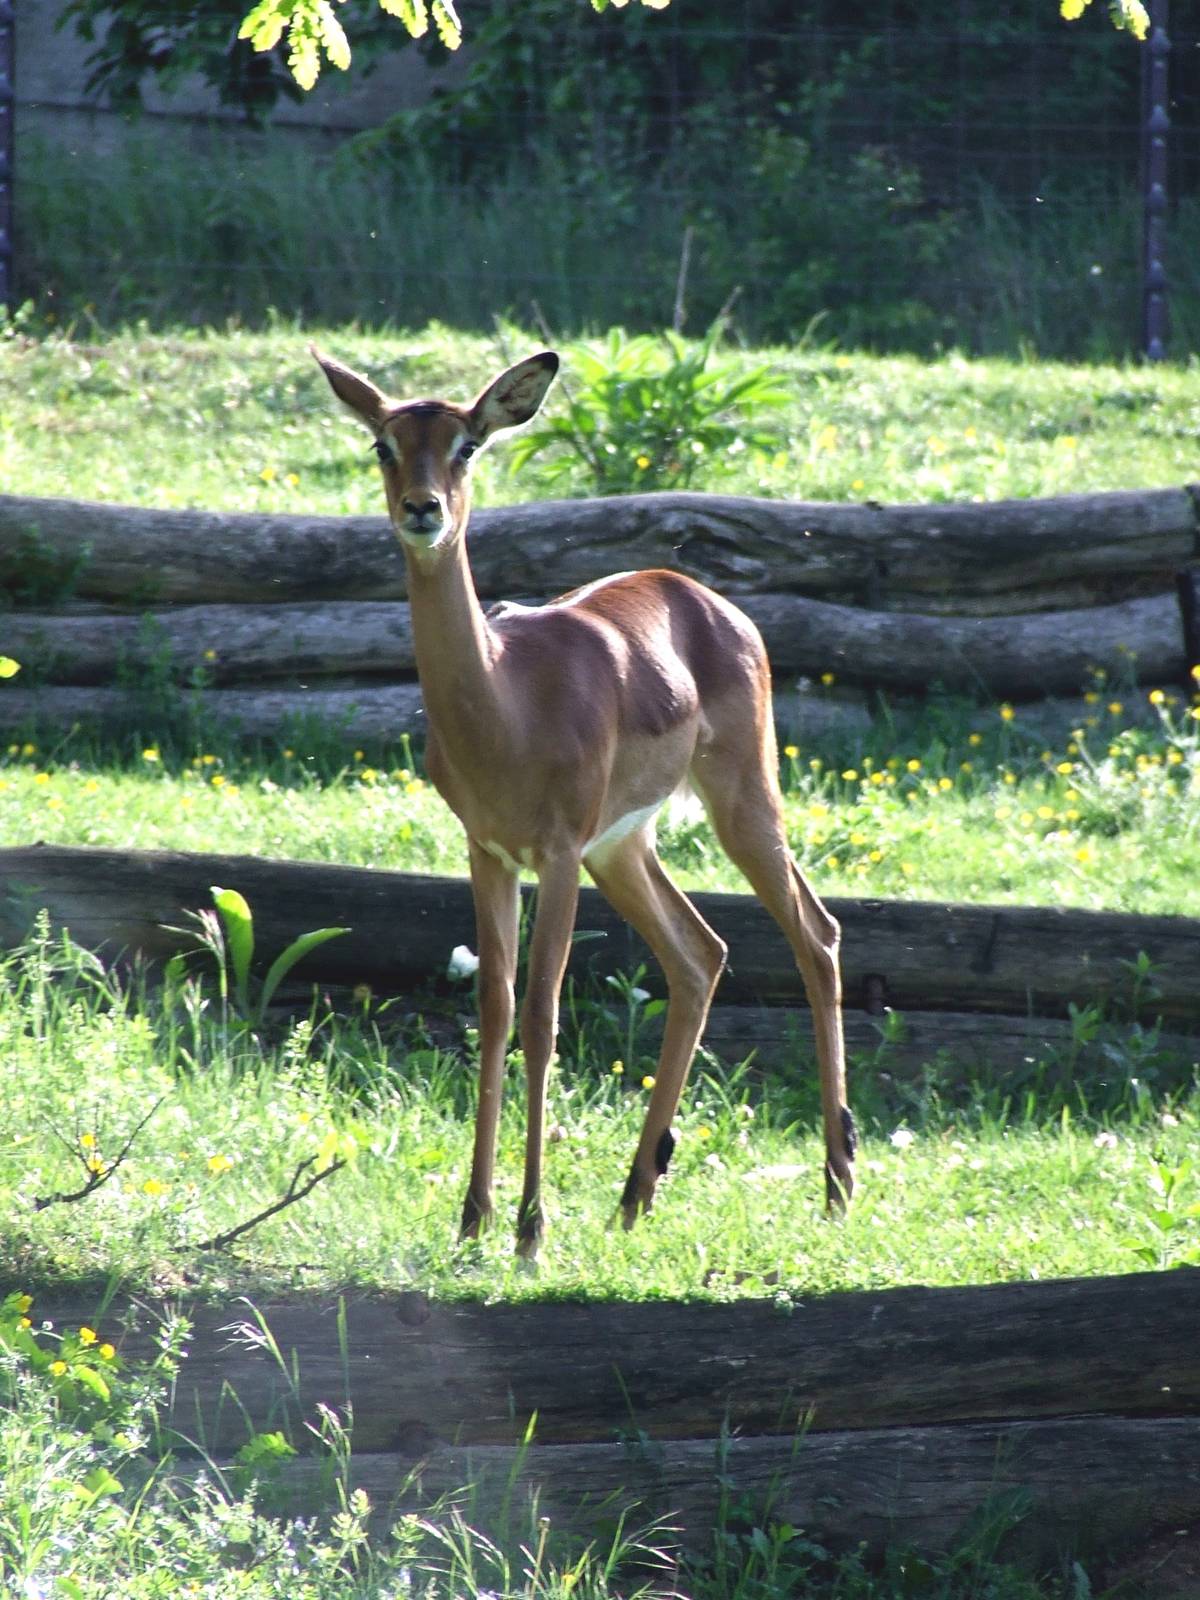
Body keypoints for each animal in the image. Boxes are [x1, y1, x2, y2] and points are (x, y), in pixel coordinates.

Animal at [313, 346, 856, 1257]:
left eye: (466, 445)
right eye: (385, 446)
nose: (424, 511)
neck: (505, 698)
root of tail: (705, 600)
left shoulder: (558, 854)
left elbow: (542, 1016)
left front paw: (531, 1228)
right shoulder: (489, 852)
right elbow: (495, 1009)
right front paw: (473, 1217)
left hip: (739, 802)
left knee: (816, 934)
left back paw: (838, 1185)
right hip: (625, 848)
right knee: (700, 955)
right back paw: (636, 1194)